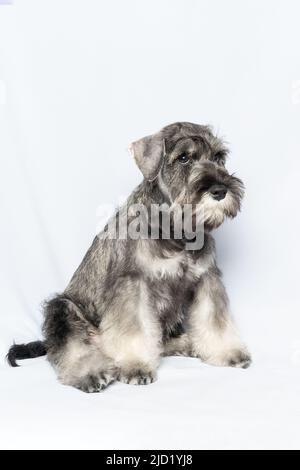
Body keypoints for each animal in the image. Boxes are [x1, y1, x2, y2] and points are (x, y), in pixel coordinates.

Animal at [7, 122, 251, 392]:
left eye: (219, 157)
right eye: (184, 158)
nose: (220, 190)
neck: (175, 230)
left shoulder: (207, 279)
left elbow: (214, 319)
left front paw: (227, 352)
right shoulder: (133, 285)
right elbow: (135, 330)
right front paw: (136, 366)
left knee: (159, 340)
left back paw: (185, 343)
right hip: (62, 309)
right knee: (72, 348)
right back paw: (91, 372)